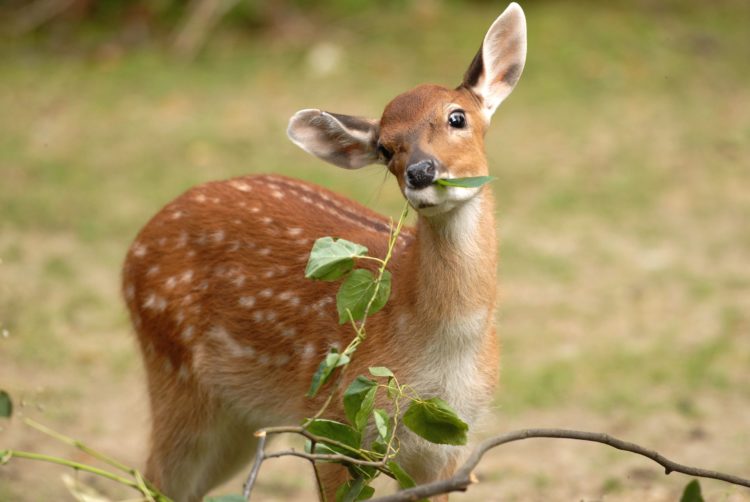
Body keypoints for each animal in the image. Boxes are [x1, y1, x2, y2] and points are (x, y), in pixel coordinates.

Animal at [123, 2, 528, 498]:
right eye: (384, 148)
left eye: (457, 117)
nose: (421, 171)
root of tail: (137, 244)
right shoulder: (335, 423)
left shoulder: (450, 441)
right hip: (174, 371)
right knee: (152, 475)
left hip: (237, 415)